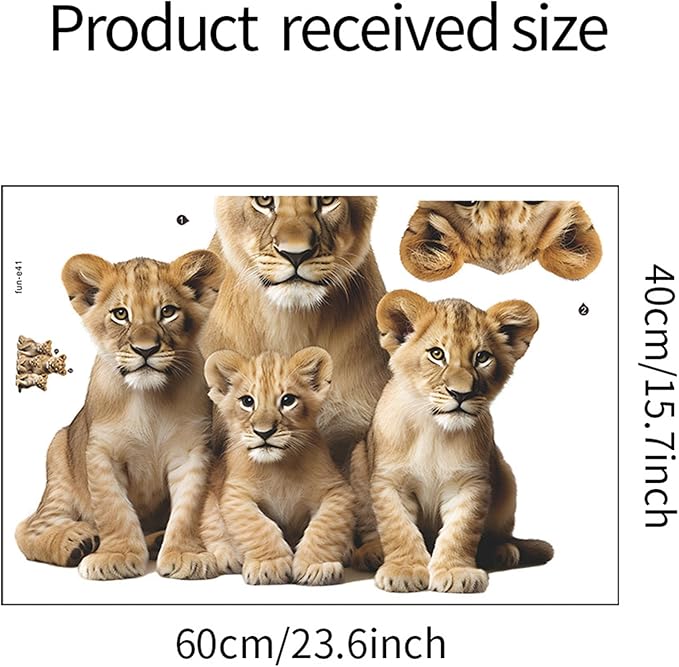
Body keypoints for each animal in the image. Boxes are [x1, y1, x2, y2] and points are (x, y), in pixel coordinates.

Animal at [16, 250, 225, 580]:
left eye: (167, 312)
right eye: (120, 314)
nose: (145, 350)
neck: (149, 399)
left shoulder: (191, 452)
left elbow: (188, 509)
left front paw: (185, 554)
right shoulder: (102, 453)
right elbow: (114, 509)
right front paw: (116, 556)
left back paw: (156, 541)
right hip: (58, 459)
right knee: (29, 527)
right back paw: (76, 541)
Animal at [351, 290, 553, 593]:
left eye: (482, 357)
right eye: (437, 354)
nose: (461, 394)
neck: (434, 431)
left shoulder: (471, 483)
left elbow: (461, 531)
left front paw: (457, 572)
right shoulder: (390, 482)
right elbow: (398, 528)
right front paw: (404, 570)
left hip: (505, 475)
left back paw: (501, 551)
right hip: (358, 460)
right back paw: (372, 552)